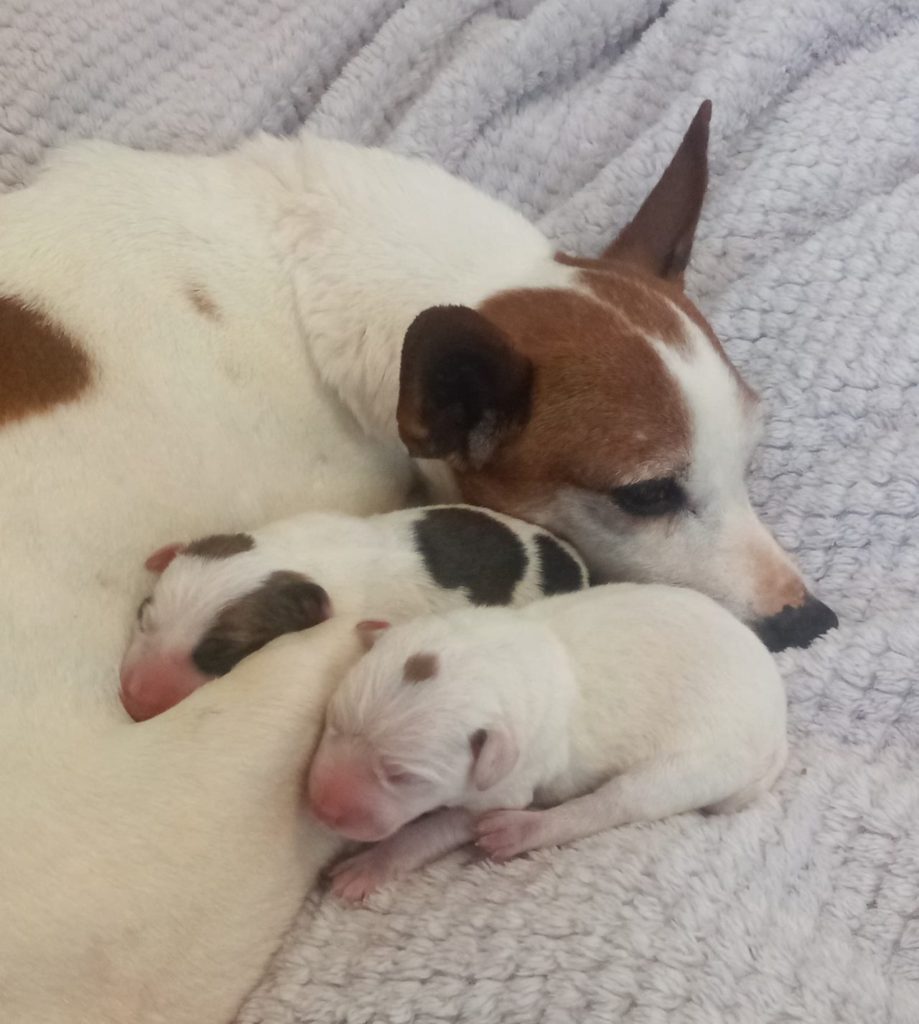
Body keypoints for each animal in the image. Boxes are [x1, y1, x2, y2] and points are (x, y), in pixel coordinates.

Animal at [305, 581, 786, 901]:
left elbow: (430, 829)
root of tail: (779, 726)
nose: (320, 808)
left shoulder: (507, 782)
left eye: (403, 776)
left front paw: (370, 864)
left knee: (615, 803)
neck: (509, 654)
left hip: (698, 762)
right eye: (331, 723)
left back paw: (521, 831)